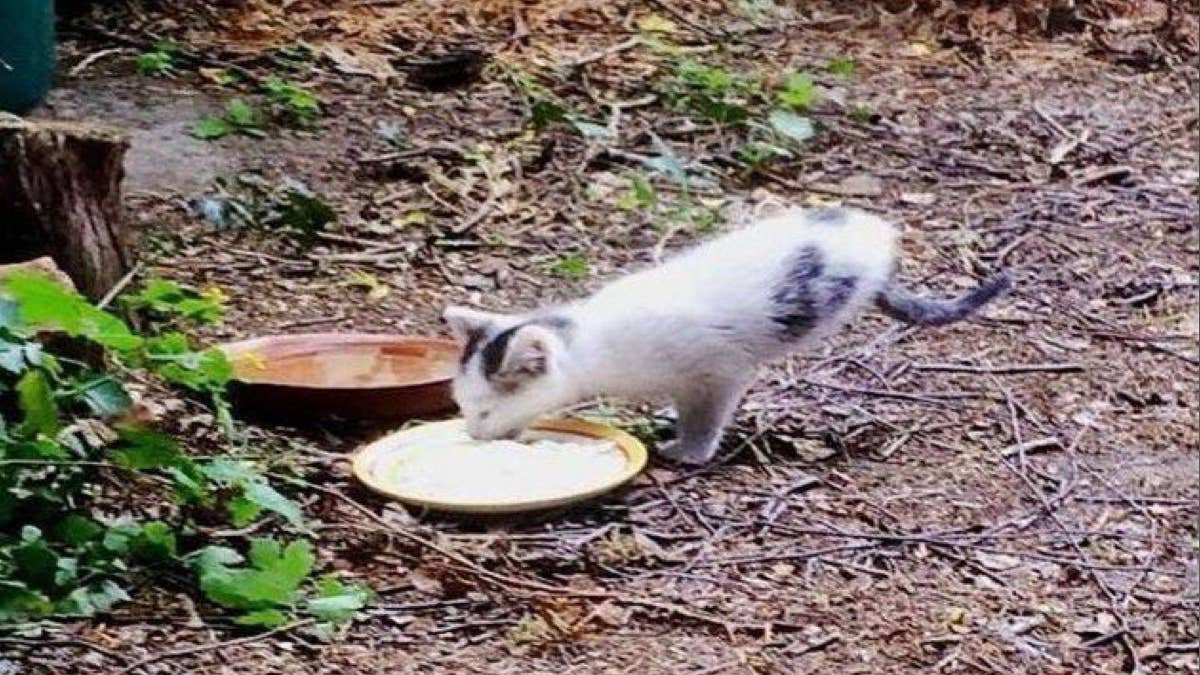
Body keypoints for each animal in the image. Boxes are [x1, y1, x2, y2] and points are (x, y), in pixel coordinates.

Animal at [441, 207, 1003, 466]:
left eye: (484, 412)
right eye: (464, 409)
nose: (473, 437)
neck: (594, 345)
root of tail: (874, 230)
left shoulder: (718, 374)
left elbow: (705, 419)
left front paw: (687, 450)